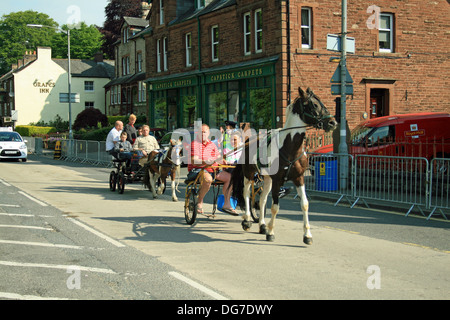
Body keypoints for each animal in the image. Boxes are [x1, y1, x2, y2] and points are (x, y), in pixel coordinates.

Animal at [230, 87, 336, 242]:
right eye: (314, 105)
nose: (333, 122)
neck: (289, 147)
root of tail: (249, 140)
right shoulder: (278, 180)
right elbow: (275, 207)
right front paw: (271, 232)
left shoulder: (299, 178)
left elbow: (304, 204)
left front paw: (307, 235)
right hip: (249, 175)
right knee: (246, 194)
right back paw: (247, 220)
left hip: (267, 179)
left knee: (262, 200)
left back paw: (262, 225)